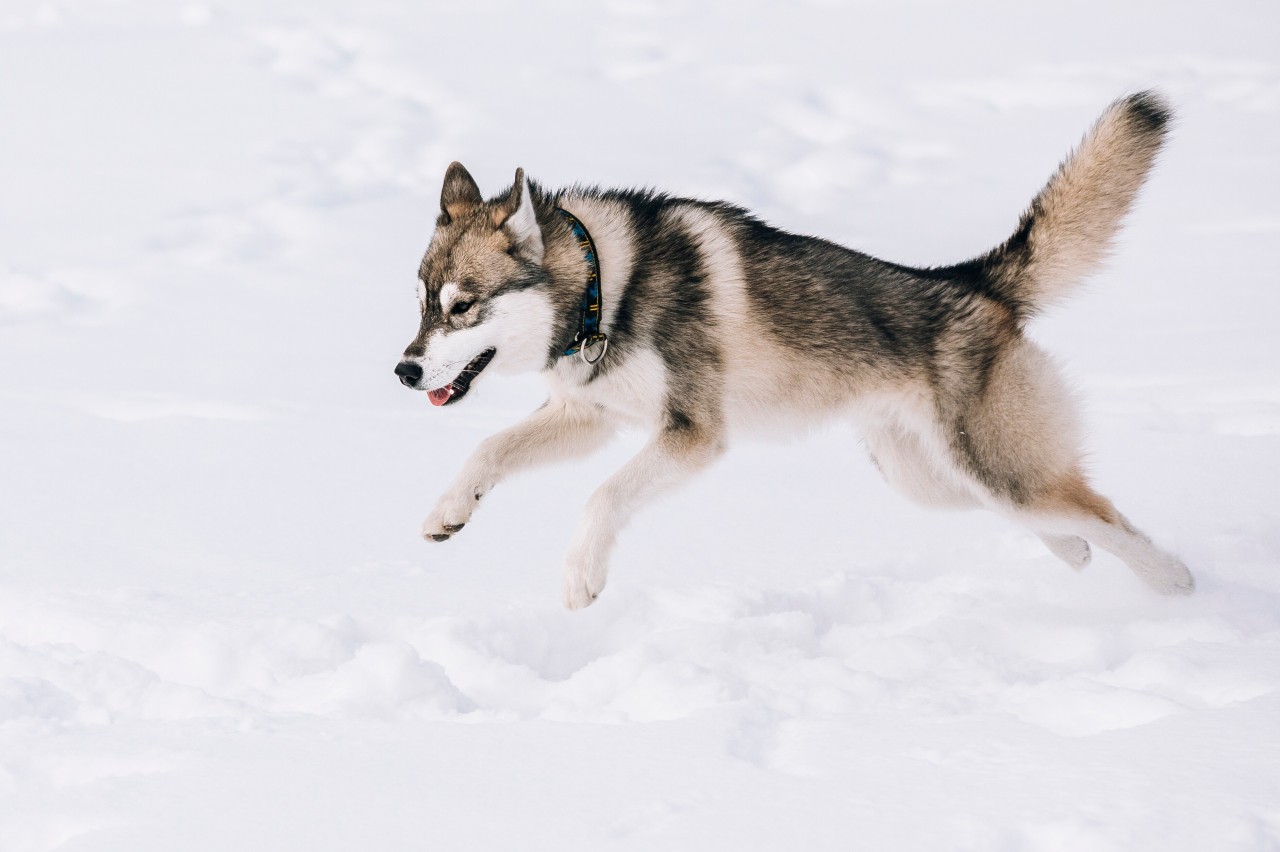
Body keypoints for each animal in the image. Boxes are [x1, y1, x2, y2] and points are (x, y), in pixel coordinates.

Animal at [394, 92, 1192, 606]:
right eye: (423, 301)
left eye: (464, 306)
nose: (404, 370)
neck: (603, 289)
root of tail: (970, 281)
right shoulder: (587, 417)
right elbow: (488, 450)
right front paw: (446, 512)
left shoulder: (692, 437)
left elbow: (602, 497)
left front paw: (581, 577)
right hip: (931, 479)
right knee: (1059, 519)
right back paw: (1078, 554)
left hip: (995, 467)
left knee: (1106, 516)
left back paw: (1179, 587)